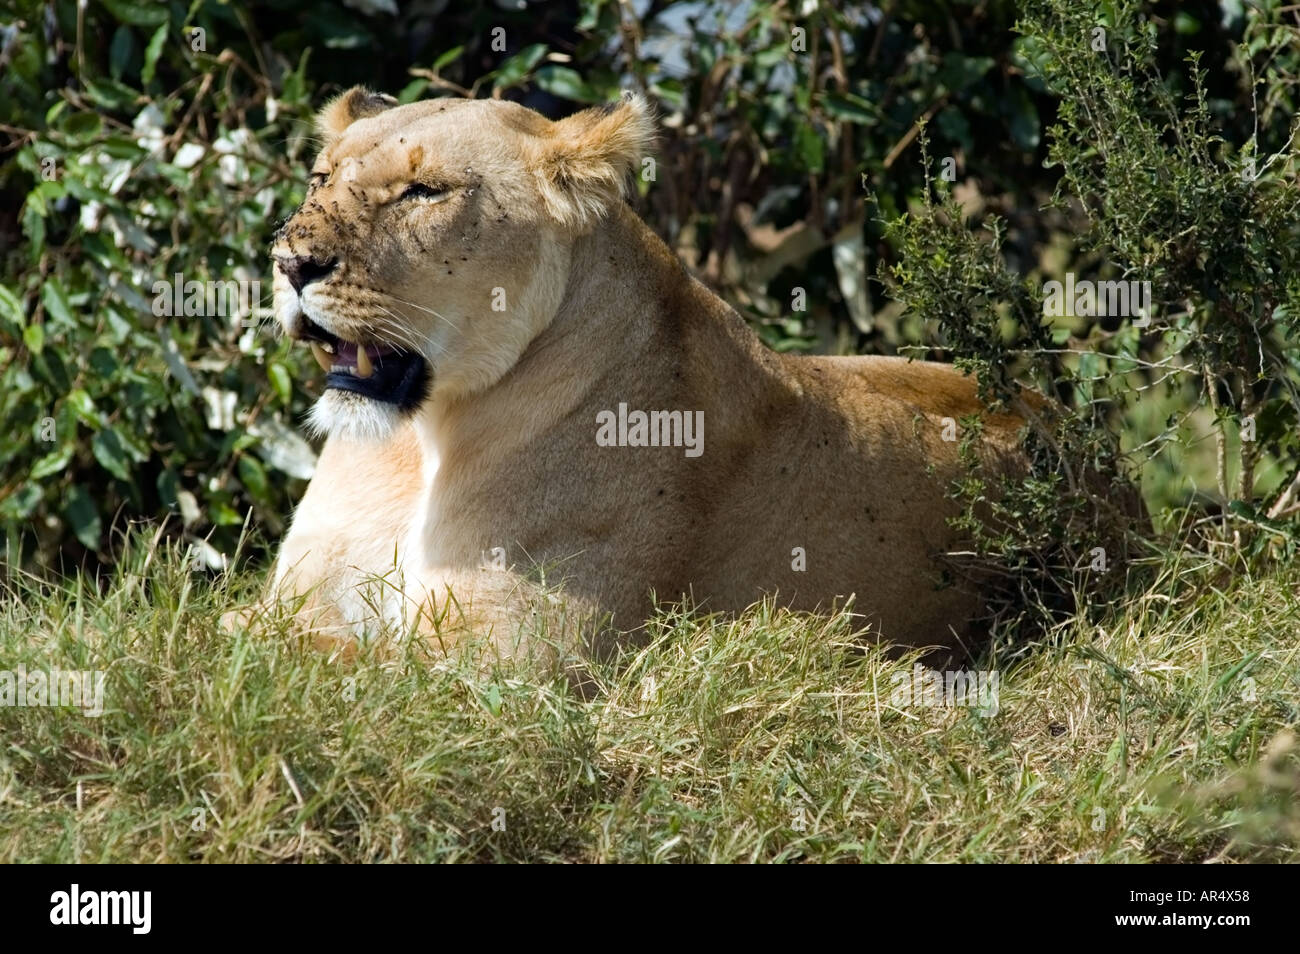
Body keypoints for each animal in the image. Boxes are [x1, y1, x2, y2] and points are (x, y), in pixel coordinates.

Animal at [263, 86, 1034, 663]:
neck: (422, 441)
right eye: (321, 178)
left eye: (424, 192)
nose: (290, 264)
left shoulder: (506, 662)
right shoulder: (298, 602)